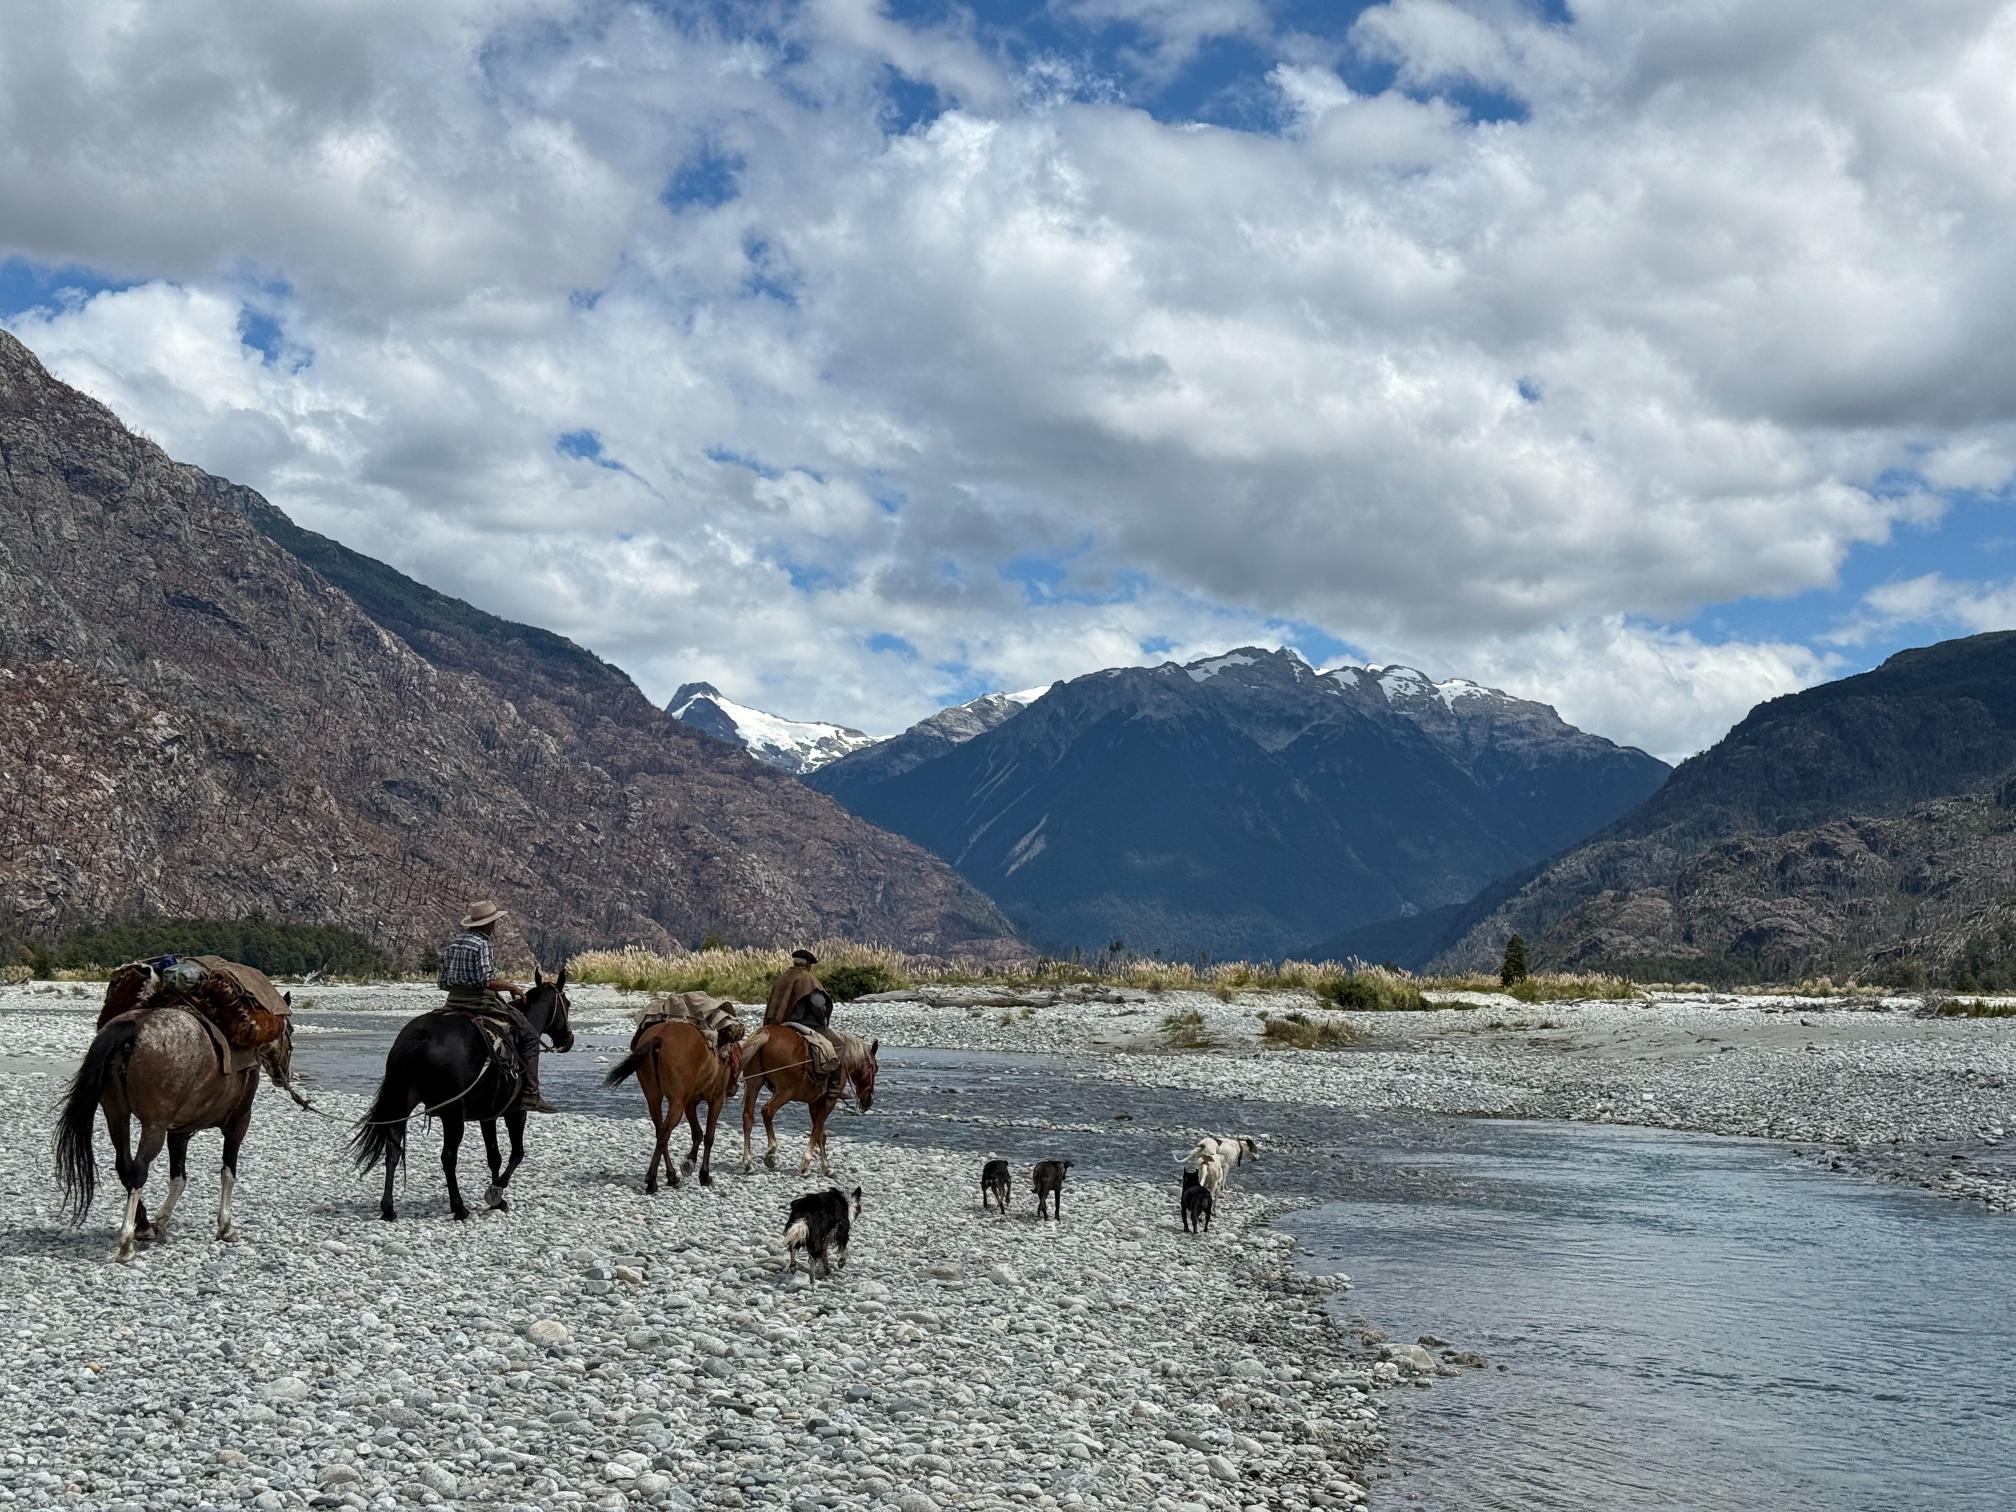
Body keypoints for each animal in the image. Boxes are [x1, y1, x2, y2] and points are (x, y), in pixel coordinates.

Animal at [54, 981, 300, 1263]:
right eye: (290, 1030)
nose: (285, 1076)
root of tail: (133, 1028)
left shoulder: (179, 1131)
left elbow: (178, 1178)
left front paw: (160, 1221)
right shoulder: (238, 1123)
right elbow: (227, 1173)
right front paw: (226, 1227)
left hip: (116, 1117)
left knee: (124, 1167)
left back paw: (143, 1226)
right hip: (154, 1126)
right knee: (138, 1171)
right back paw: (126, 1243)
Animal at [347, 968, 575, 1221]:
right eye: (567, 1003)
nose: (568, 1040)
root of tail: (418, 1037)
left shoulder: (488, 1115)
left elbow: (494, 1155)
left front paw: (498, 1200)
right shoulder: (515, 1112)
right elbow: (517, 1153)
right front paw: (496, 1191)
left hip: (402, 1103)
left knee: (393, 1150)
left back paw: (388, 1208)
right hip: (452, 1114)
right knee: (448, 1157)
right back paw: (459, 1207)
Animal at [602, 1019, 743, 1192]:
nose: (733, 1089)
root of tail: (660, 1037)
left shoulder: (689, 1102)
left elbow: (697, 1133)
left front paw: (689, 1162)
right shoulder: (715, 1100)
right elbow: (708, 1136)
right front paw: (704, 1175)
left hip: (653, 1097)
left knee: (660, 1130)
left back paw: (671, 1176)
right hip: (677, 1101)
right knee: (665, 1132)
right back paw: (652, 1180)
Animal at [738, 1024, 878, 1177]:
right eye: (875, 1069)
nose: (868, 1101)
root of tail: (767, 1033)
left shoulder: (814, 1103)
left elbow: (821, 1134)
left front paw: (826, 1167)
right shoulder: (829, 1102)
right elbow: (817, 1131)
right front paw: (806, 1163)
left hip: (754, 1083)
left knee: (748, 1117)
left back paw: (748, 1162)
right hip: (785, 1091)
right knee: (767, 1111)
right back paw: (771, 1151)